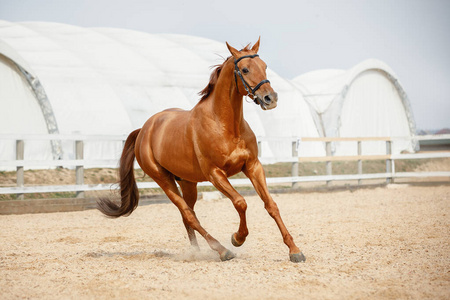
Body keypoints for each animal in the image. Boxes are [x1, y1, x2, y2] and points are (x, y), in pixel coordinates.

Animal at [98, 37, 306, 262]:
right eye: (245, 69)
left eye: (264, 66)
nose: (270, 98)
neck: (226, 126)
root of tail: (144, 129)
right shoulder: (215, 173)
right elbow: (240, 202)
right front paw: (237, 238)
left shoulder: (253, 166)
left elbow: (271, 205)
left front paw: (295, 250)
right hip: (164, 180)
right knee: (189, 215)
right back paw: (222, 250)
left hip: (188, 183)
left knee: (187, 216)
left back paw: (197, 252)